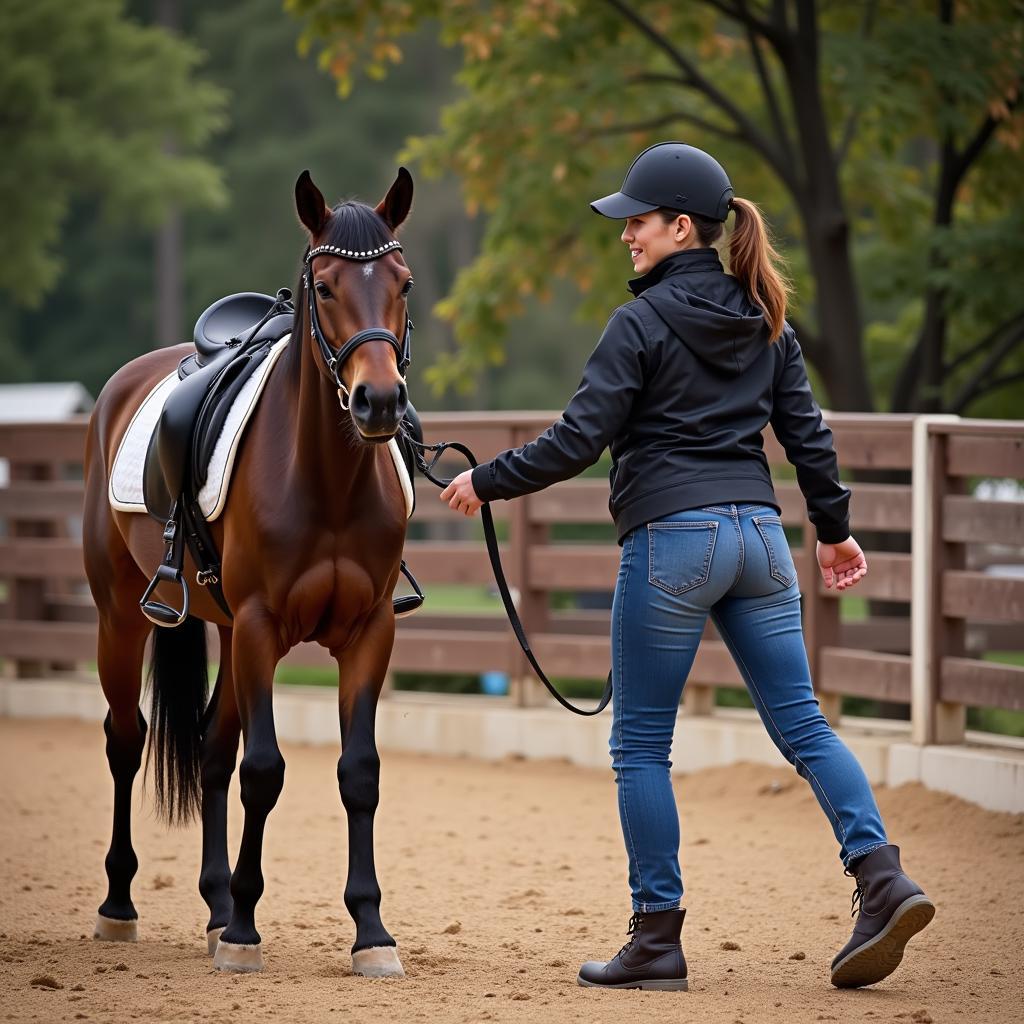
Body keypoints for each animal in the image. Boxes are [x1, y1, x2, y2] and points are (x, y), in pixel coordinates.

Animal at [80, 167, 415, 974]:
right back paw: (120, 905)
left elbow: (359, 774)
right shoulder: (263, 627)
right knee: (125, 739)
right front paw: (244, 933)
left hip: (227, 636)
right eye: (324, 286)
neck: (326, 481)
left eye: (404, 283)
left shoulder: (369, 633)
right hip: (122, 620)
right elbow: (264, 771)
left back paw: (214, 905)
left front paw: (370, 931)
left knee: (209, 751)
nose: (379, 401)